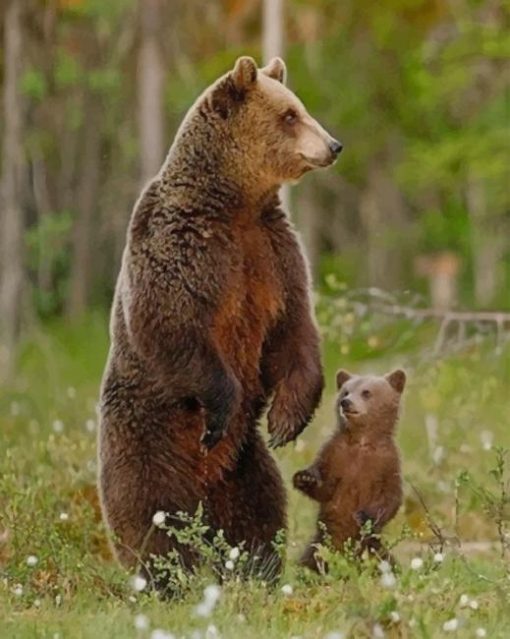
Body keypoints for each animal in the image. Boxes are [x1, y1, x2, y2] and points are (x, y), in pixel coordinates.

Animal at [97, 56, 340, 584]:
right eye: (290, 115)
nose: (333, 145)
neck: (234, 203)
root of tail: (204, 491)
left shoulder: (272, 254)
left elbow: (295, 329)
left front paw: (287, 420)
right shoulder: (182, 246)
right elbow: (170, 323)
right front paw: (222, 406)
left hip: (245, 464)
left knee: (260, 511)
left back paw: (256, 570)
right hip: (146, 440)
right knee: (151, 517)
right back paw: (171, 578)